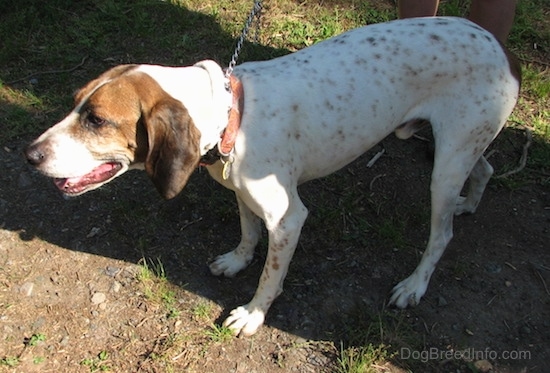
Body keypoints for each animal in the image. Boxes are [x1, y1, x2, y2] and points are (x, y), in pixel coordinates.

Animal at [25, 17, 524, 336]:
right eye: (74, 103)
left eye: (97, 120)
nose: (29, 155)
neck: (233, 115)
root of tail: (502, 46)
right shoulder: (242, 194)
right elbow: (248, 234)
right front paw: (237, 260)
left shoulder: (288, 219)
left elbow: (270, 275)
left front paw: (253, 314)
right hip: (459, 148)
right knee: (485, 168)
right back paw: (470, 201)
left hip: (445, 169)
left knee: (441, 236)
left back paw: (415, 284)